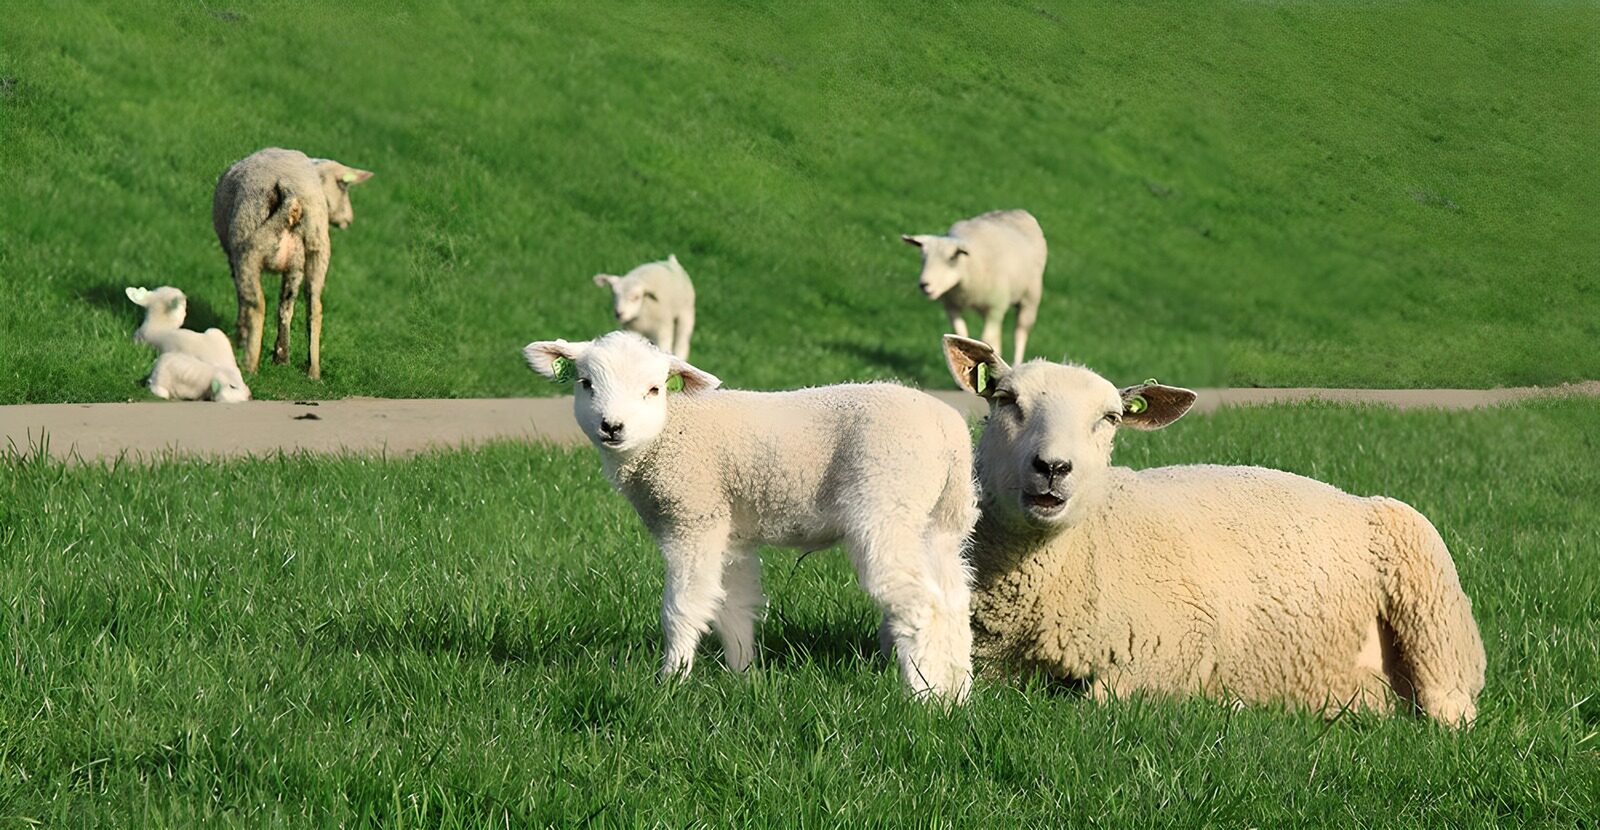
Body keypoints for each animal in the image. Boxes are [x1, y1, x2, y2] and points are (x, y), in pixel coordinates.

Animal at [213, 147, 373, 379]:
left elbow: (244, 301)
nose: (349, 220)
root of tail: (291, 193)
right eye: (343, 186)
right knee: (312, 306)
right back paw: (310, 370)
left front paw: (241, 337)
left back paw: (249, 365)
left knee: (256, 304)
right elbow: (286, 305)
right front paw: (282, 355)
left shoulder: (233, 257)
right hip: (316, 250)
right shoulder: (296, 266)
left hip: (247, 245)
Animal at [522, 331, 978, 703]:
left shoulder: (694, 516)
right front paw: (743, 678)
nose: (612, 427)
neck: (669, 430)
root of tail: (948, 431)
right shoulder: (730, 532)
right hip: (941, 519)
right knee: (954, 600)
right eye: (586, 383)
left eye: (653, 389)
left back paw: (921, 696)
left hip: (886, 502)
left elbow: (682, 606)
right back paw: (956, 693)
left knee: (920, 604)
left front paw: (670, 682)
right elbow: (735, 606)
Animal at [902, 210, 1047, 365]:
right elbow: (960, 334)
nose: (924, 284)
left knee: (1019, 334)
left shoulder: (995, 308)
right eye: (923, 257)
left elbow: (988, 339)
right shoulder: (951, 305)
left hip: (1029, 298)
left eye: (952, 258)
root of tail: (1020, 212)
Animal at [942, 334, 1486, 726]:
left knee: (1452, 713)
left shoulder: (1175, 648)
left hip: (1435, 623)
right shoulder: (985, 665)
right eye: (1005, 399)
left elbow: (1102, 700)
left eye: (1111, 418)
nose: (1053, 467)